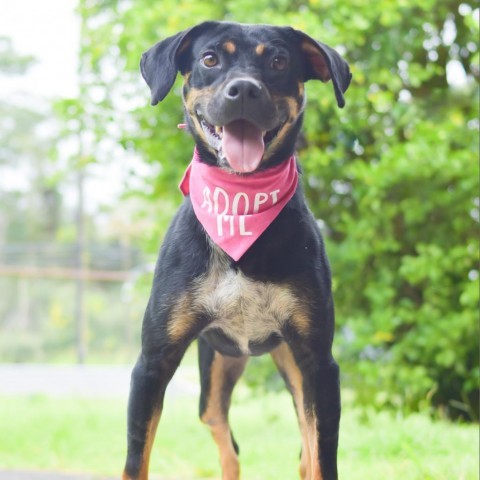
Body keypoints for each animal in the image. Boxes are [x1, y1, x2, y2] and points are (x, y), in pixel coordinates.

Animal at [122, 20, 350, 480]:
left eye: (278, 61)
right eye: (210, 58)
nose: (244, 90)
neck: (240, 203)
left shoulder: (319, 364)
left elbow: (323, 457)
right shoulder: (152, 363)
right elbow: (137, 459)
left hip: (294, 371)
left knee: (305, 446)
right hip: (213, 380)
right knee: (227, 445)